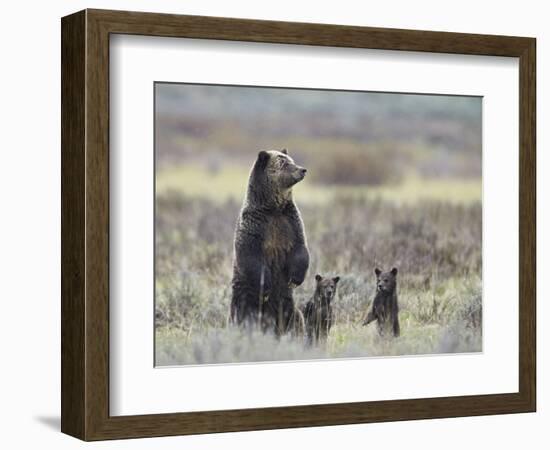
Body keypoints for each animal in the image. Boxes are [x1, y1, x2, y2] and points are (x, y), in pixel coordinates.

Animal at [232, 149, 312, 336]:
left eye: (291, 160)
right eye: (284, 163)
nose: (302, 170)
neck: (273, 208)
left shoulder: (290, 222)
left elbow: (300, 249)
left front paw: (295, 279)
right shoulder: (255, 226)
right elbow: (250, 255)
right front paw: (266, 286)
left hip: (287, 303)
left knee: (295, 318)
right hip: (244, 297)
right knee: (243, 316)